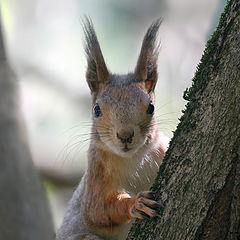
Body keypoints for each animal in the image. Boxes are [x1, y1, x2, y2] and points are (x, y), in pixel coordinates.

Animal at [55, 17, 170, 240]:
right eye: (97, 110)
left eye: (151, 107)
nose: (125, 135)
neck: (134, 158)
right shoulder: (96, 174)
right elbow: (98, 210)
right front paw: (135, 204)